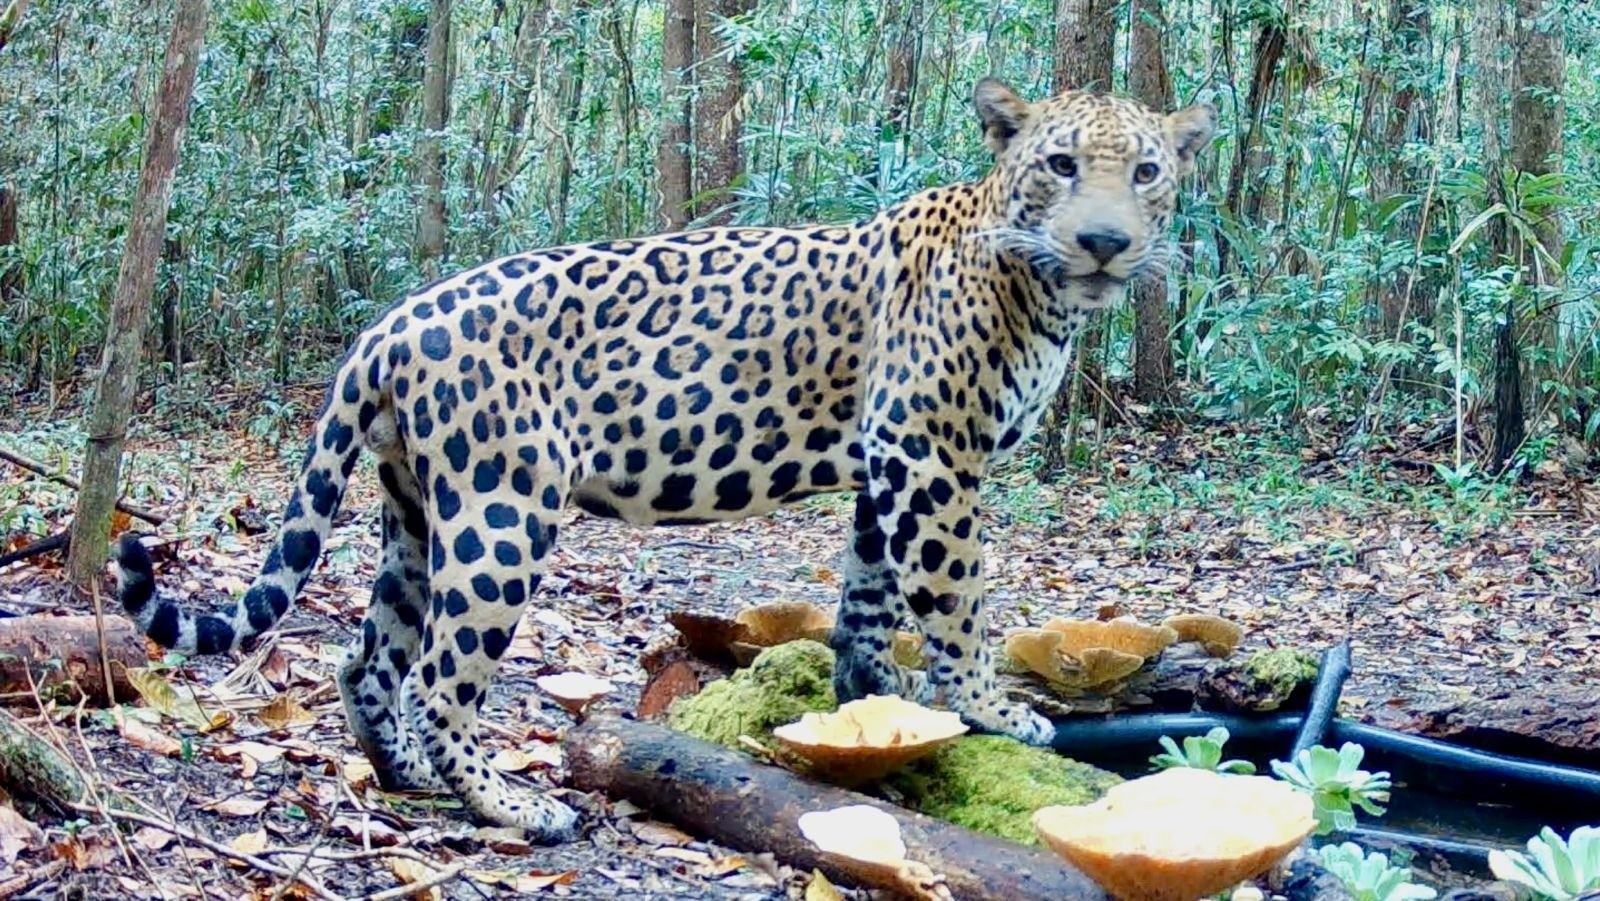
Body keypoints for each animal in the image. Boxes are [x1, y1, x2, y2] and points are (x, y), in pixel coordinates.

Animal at [112, 78, 1214, 843]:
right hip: (502, 514)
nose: (1106, 240)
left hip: (415, 508)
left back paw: (404, 775)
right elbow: (955, 596)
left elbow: (868, 595)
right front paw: (990, 709)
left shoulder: (886, 467)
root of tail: (387, 325)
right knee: (438, 675)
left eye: (1145, 171)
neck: (1038, 289)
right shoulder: (928, 453)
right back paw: (517, 808)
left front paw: (867, 702)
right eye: (1061, 165)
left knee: (368, 654)